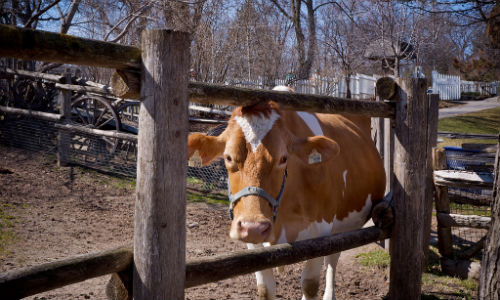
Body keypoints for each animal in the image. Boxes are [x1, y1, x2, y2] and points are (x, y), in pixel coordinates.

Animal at [188, 86, 386, 300]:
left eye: (283, 158)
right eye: (228, 157)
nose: (253, 227)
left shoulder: (321, 231)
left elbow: (310, 285)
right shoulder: (253, 242)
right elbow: (265, 289)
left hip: (344, 226)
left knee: (332, 259)